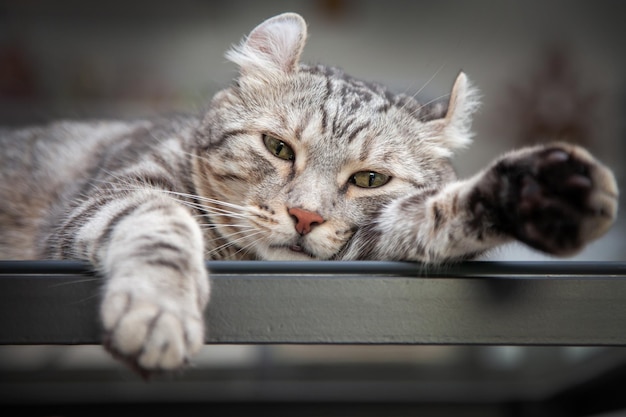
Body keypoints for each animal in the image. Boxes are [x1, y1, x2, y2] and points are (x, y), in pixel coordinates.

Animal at [0, 12, 616, 370]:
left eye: (369, 179)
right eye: (278, 148)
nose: (303, 216)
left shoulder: (371, 241)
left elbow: (431, 215)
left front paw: (538, 192)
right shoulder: (107, 197)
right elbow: (160, 222)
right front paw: (158, 310)